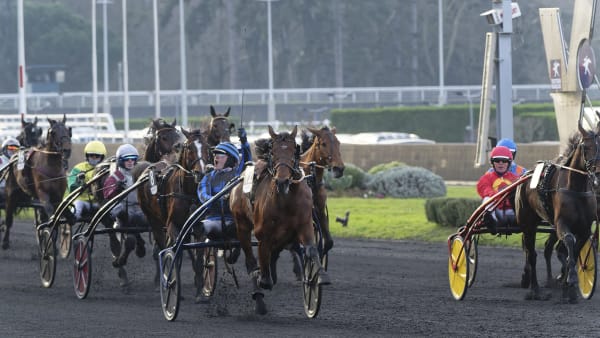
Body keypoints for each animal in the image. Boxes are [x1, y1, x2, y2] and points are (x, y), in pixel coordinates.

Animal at [2, 115, 71, 250]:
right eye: (53, 132)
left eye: (68, 130)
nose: (66, 150)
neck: (52, 167)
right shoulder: (43, 195)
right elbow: (50, 215)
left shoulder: (58, 196)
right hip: (10, 193)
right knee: (9, 218)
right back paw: (5, 242)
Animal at [231, 125, 332, 316]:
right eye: (273, 152)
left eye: (294, 150)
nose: (282, 181)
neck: (286, 198)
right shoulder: (263, 232)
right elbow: (262, 255)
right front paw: (264, 280)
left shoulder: (305, 225)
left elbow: (311, 250)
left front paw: (319, 277)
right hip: (241, 226)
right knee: (251, 261)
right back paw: (259, 297)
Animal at [510, 119, 600, 304]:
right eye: (586, 147)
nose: (598, 173)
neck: (576, 189)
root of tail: (525, 176)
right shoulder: (561, 223)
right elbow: (569, 241)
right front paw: (571, 278)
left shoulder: (585, 228)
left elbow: (573, 251)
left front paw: (568, 290)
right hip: (528, 224)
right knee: (531, 255)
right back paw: (535, 289)